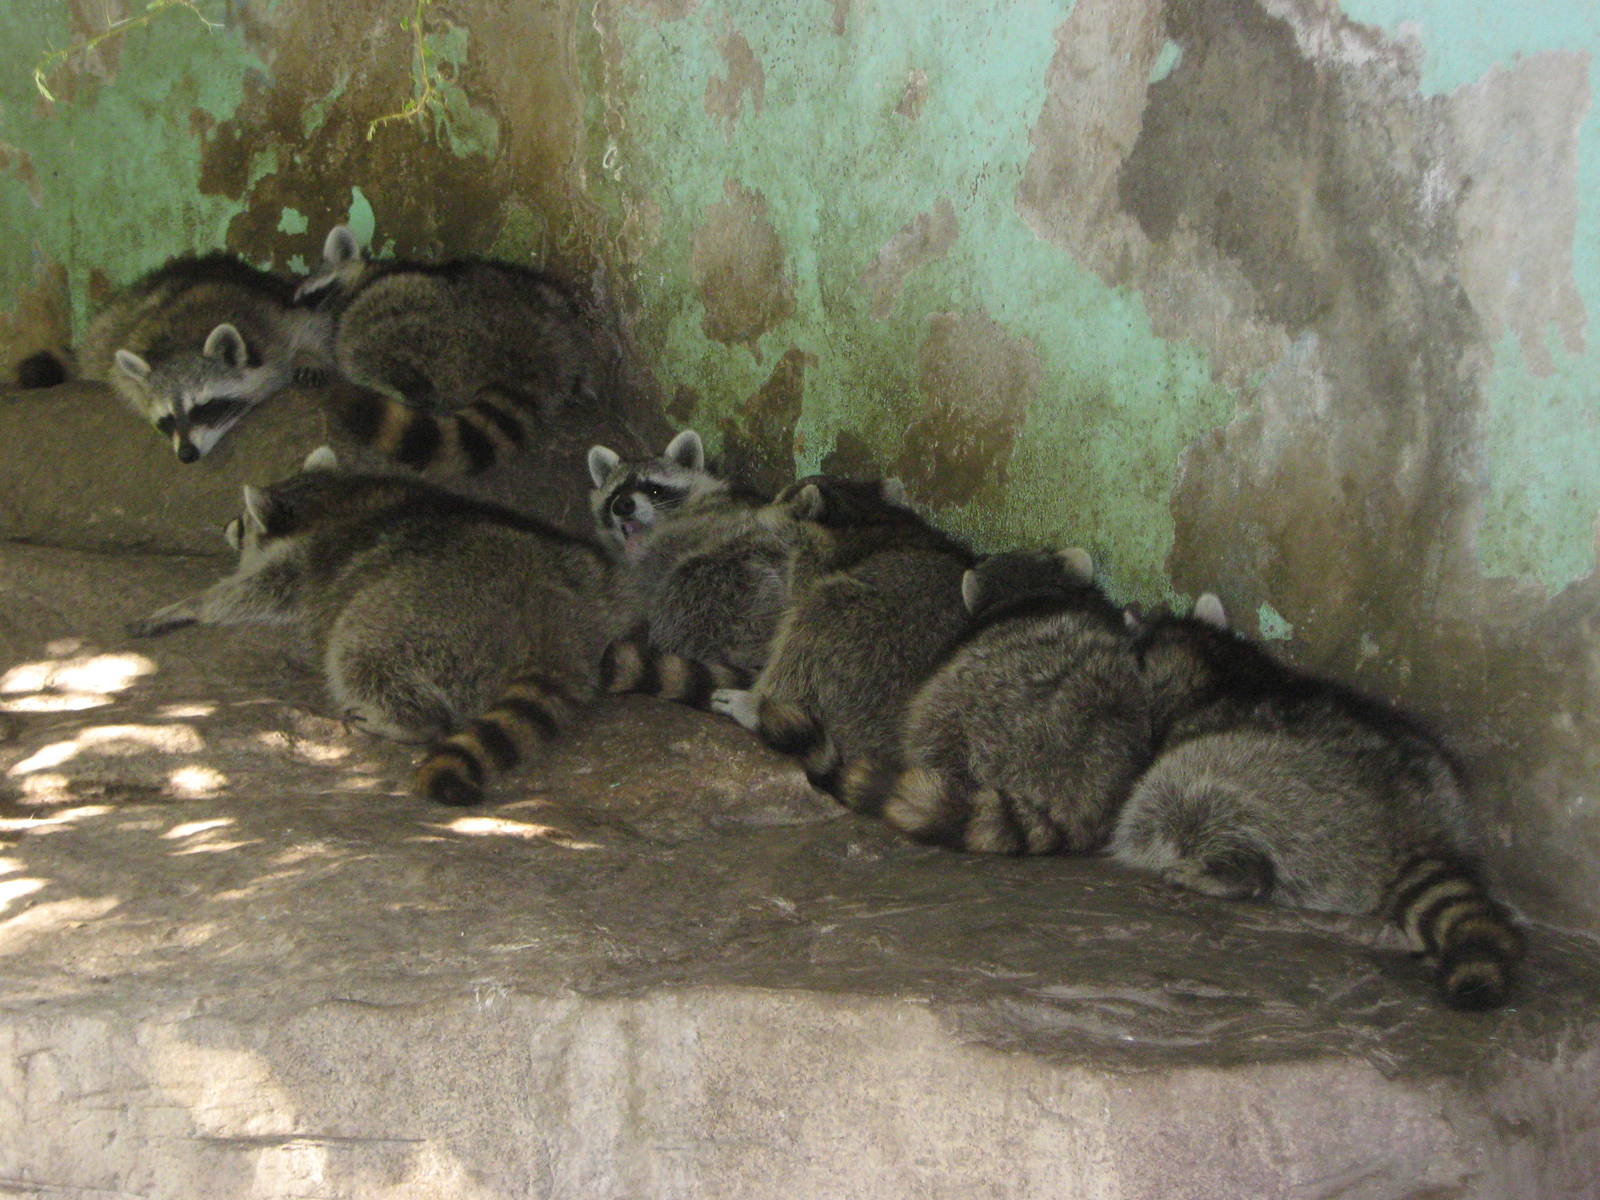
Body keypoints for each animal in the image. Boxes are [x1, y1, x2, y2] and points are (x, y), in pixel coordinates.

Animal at [71, 251, 332, 462]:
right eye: (167, 419)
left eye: (203, 408)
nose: (186, 455)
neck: (184, 340)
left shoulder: (272, 319)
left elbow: (311, 329)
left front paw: (309, 357)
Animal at [129, 447, 629, 806]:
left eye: (246, 520)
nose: (226, 526)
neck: (332, 498)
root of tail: (548, 612)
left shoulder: (301, 562)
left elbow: (251, 591)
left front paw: (188, 604)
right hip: (589, 574)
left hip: (419, 616)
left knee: (357, 651)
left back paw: (404, 721)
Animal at [296, 224, 610, 476]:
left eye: (317, 294)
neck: (364, 275)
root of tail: (526, 353)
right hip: (549, 305)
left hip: (431, 324)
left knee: (359, 346)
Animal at [705, 474, 977, 795]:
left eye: (776, 498)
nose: (753, 507)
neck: (863, 513)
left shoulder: (814, 562)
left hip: (864, 638)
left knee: (810, 627)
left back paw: (758, 706)